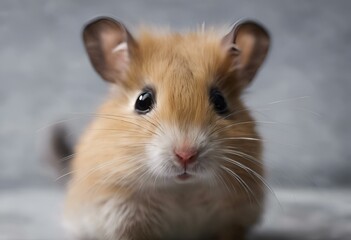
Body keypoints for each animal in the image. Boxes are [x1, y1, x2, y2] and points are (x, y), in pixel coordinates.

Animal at [63, 16, 270, 240]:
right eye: (143, 101)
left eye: (220, 101)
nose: (186, 155)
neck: (181, 188)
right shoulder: (121, 215)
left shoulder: (233, 219)